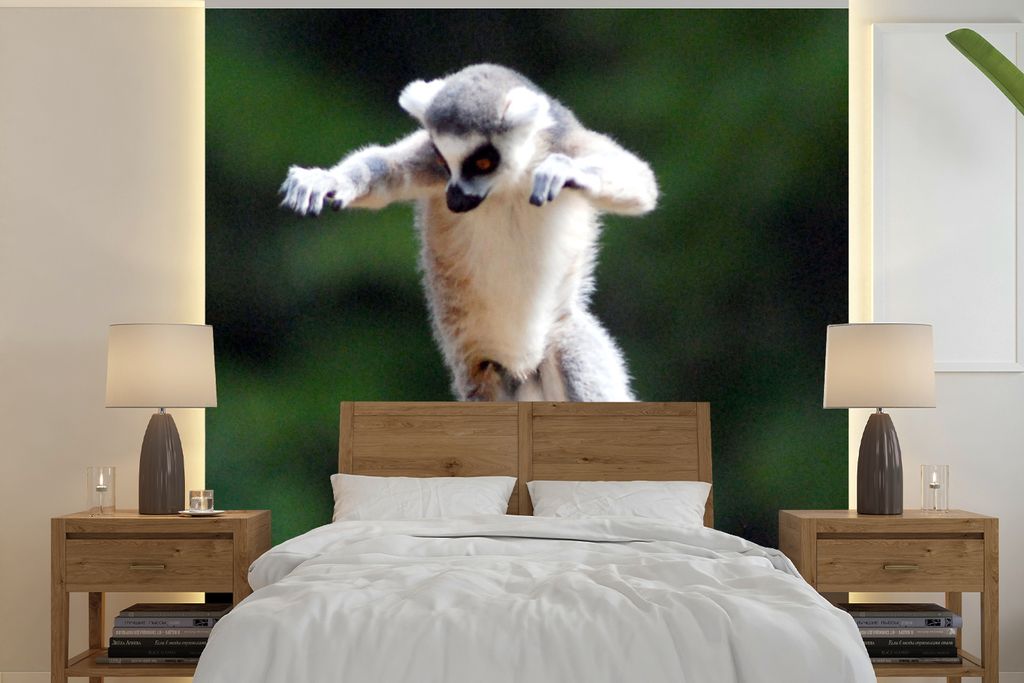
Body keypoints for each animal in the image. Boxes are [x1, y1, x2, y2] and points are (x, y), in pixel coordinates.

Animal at [279, 64, 658, 402]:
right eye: (443, 159)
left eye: (483, 162)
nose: (456, 199)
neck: (509, 182)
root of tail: (521, 371)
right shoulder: (431, 167)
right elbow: (387, 168)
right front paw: (327, 179)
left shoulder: (564, 141)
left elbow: (641, 184)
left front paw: (567, 171)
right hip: (481, 379)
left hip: (558, 340)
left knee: (574, 348)